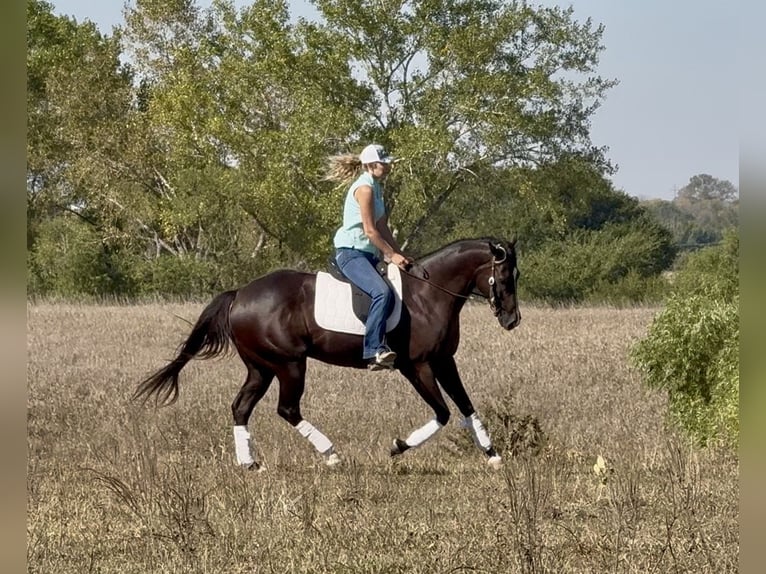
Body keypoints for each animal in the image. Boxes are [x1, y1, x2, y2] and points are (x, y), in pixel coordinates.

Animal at [133, 237, 521, 470]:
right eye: (504, 276)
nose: (512, 320)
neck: (428, 294)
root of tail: (240, 294)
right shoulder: (418, 366)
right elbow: (442, 412)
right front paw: (398, 446)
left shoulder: (443, 361)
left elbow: (467, 406)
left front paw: (492, 455)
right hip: (289, 364)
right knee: (287, 409)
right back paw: (331, 454)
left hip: (261, 367)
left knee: (241, 407)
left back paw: (250, 464)